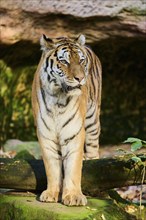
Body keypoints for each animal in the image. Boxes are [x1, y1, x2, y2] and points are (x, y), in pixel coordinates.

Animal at [31, 33, 101, 205]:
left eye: (81, 60)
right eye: (64, 61)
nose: (80, 78)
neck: (58, 97)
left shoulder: (74, 133)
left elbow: (73, 167)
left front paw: (74, 196)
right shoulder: (46, 134)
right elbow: (52, 167)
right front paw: (51, 193)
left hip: (92, 120)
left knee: (93, 147)